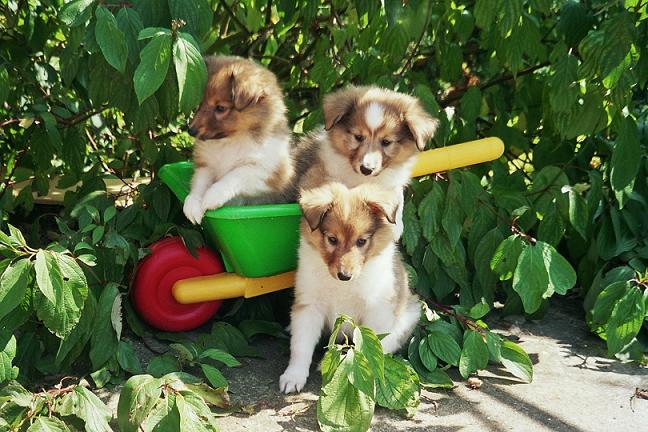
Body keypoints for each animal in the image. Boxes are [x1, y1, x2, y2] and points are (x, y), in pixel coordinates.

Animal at [182, 55, 294, 224]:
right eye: (200, 104)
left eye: (220, 108)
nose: (191, 131)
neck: (231, 141)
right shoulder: (206, 164)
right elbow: (199, 182)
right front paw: (193, 205)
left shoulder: (271, 173)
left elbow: (237, 173)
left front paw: (212, 196)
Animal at [278, 183, 420, 394]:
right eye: (332, 239)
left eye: (361, 241)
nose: (344, 275)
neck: (342, 286)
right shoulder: (309, 305)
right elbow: (301, 345)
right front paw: (293, 376)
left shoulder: (376, 311)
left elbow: (369, 349)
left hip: (406, 319)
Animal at [294, 86, 440, 238]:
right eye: (358, 137)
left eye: (386, 142)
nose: (366, 169)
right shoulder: (317, 171)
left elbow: (396, 196)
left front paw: (396, 226)